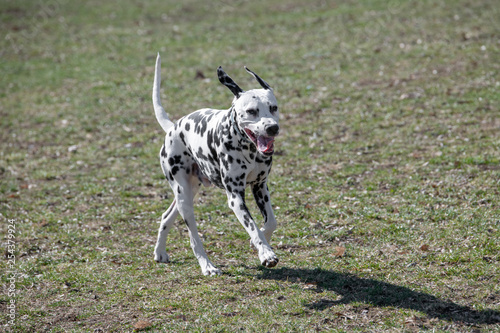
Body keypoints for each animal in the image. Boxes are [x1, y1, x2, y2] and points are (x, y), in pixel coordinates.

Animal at [150, 52, 280, 274]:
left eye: (273, 108)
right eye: (252, 111)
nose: (273, 128)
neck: (248, 149)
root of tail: (173, 127)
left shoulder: (260, 187)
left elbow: (270, 222)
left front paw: (261, 242)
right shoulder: (235, 197)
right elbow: (253, 226)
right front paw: (266, 253)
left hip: (188, 191)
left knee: (166, 216)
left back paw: (160, 253)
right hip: (185, 198)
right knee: (194, 238)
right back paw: (207, 265)